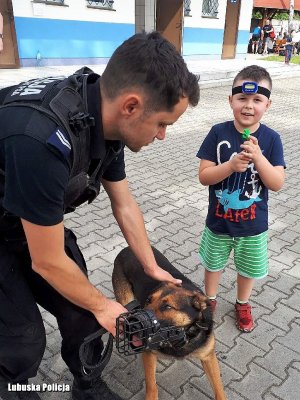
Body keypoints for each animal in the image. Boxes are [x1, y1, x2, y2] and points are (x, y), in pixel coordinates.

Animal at [112, 247, 225, 400]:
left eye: (167, 307)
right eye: (148, 300)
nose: (133, 324)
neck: (179, 338)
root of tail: (126, 248)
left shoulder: (208, 357)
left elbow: (219, 389)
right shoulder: (148, 354)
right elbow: (152, 386)